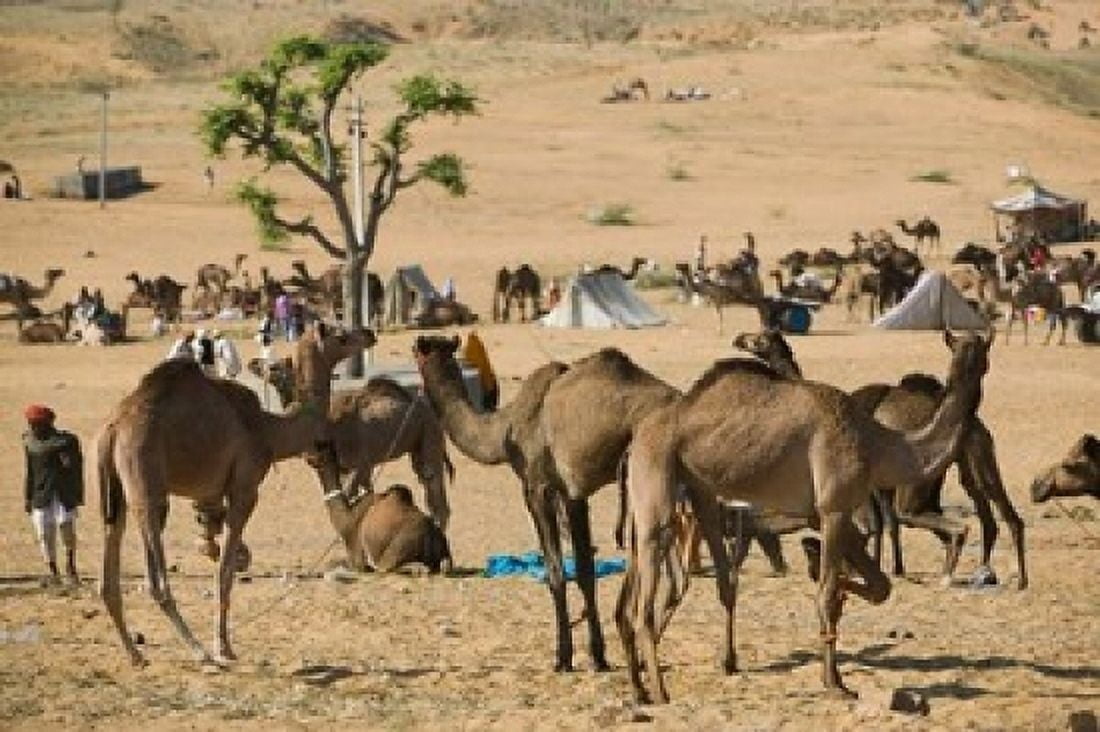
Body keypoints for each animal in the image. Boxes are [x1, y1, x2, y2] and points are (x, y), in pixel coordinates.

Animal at [96, 326, 374, 666]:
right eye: (341, 335)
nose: (369, 333)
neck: (270, 431)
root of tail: (113, 428)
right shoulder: (244, 489)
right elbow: (224, 572)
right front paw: (224, 647)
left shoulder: (216, 494)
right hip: (146, 482)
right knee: (156, 577)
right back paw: (199, 651)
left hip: (116, 491)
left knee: (109, 562)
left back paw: (135, 654)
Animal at [248, 359, 454, 531]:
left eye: (276, 366)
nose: (255, 363)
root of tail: (429, 409)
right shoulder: (347, 467)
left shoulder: (359, 464)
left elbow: (352, 499)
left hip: (430, 434)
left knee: (434, 485)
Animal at [414, 335, 680, 672]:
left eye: (418, 354)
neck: (503, 429)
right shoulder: (573, 495)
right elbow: (585, 570)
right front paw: (599, 656)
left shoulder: (536, 488)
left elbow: (555, 570)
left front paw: (563, 657)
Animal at [616, 329, 993, 704]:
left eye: (978, 350)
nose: (975, 362)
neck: (879, 445)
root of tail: (635, 441)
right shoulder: (835, 508)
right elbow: (826, 594)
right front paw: (835, 683)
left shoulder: (824, 515)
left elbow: (879, 586)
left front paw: (825, 571)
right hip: (657, 472)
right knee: (647, 590)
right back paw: (659, 692)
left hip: (697, 489)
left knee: (710, 581)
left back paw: (652, 683)